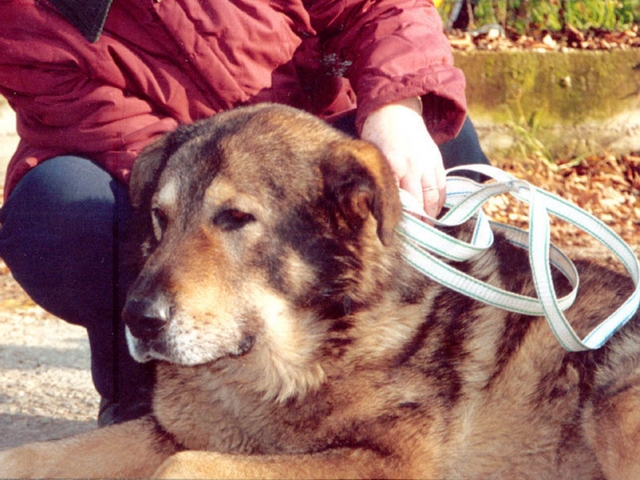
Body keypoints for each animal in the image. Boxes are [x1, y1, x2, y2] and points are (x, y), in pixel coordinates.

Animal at [1, 103, 640, 478]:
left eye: (235, 218)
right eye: (159, 218)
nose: (137, 319)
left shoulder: (381, 462)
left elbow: (183, 466)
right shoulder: (171, 430)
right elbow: (32, 453)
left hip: (612, 409)